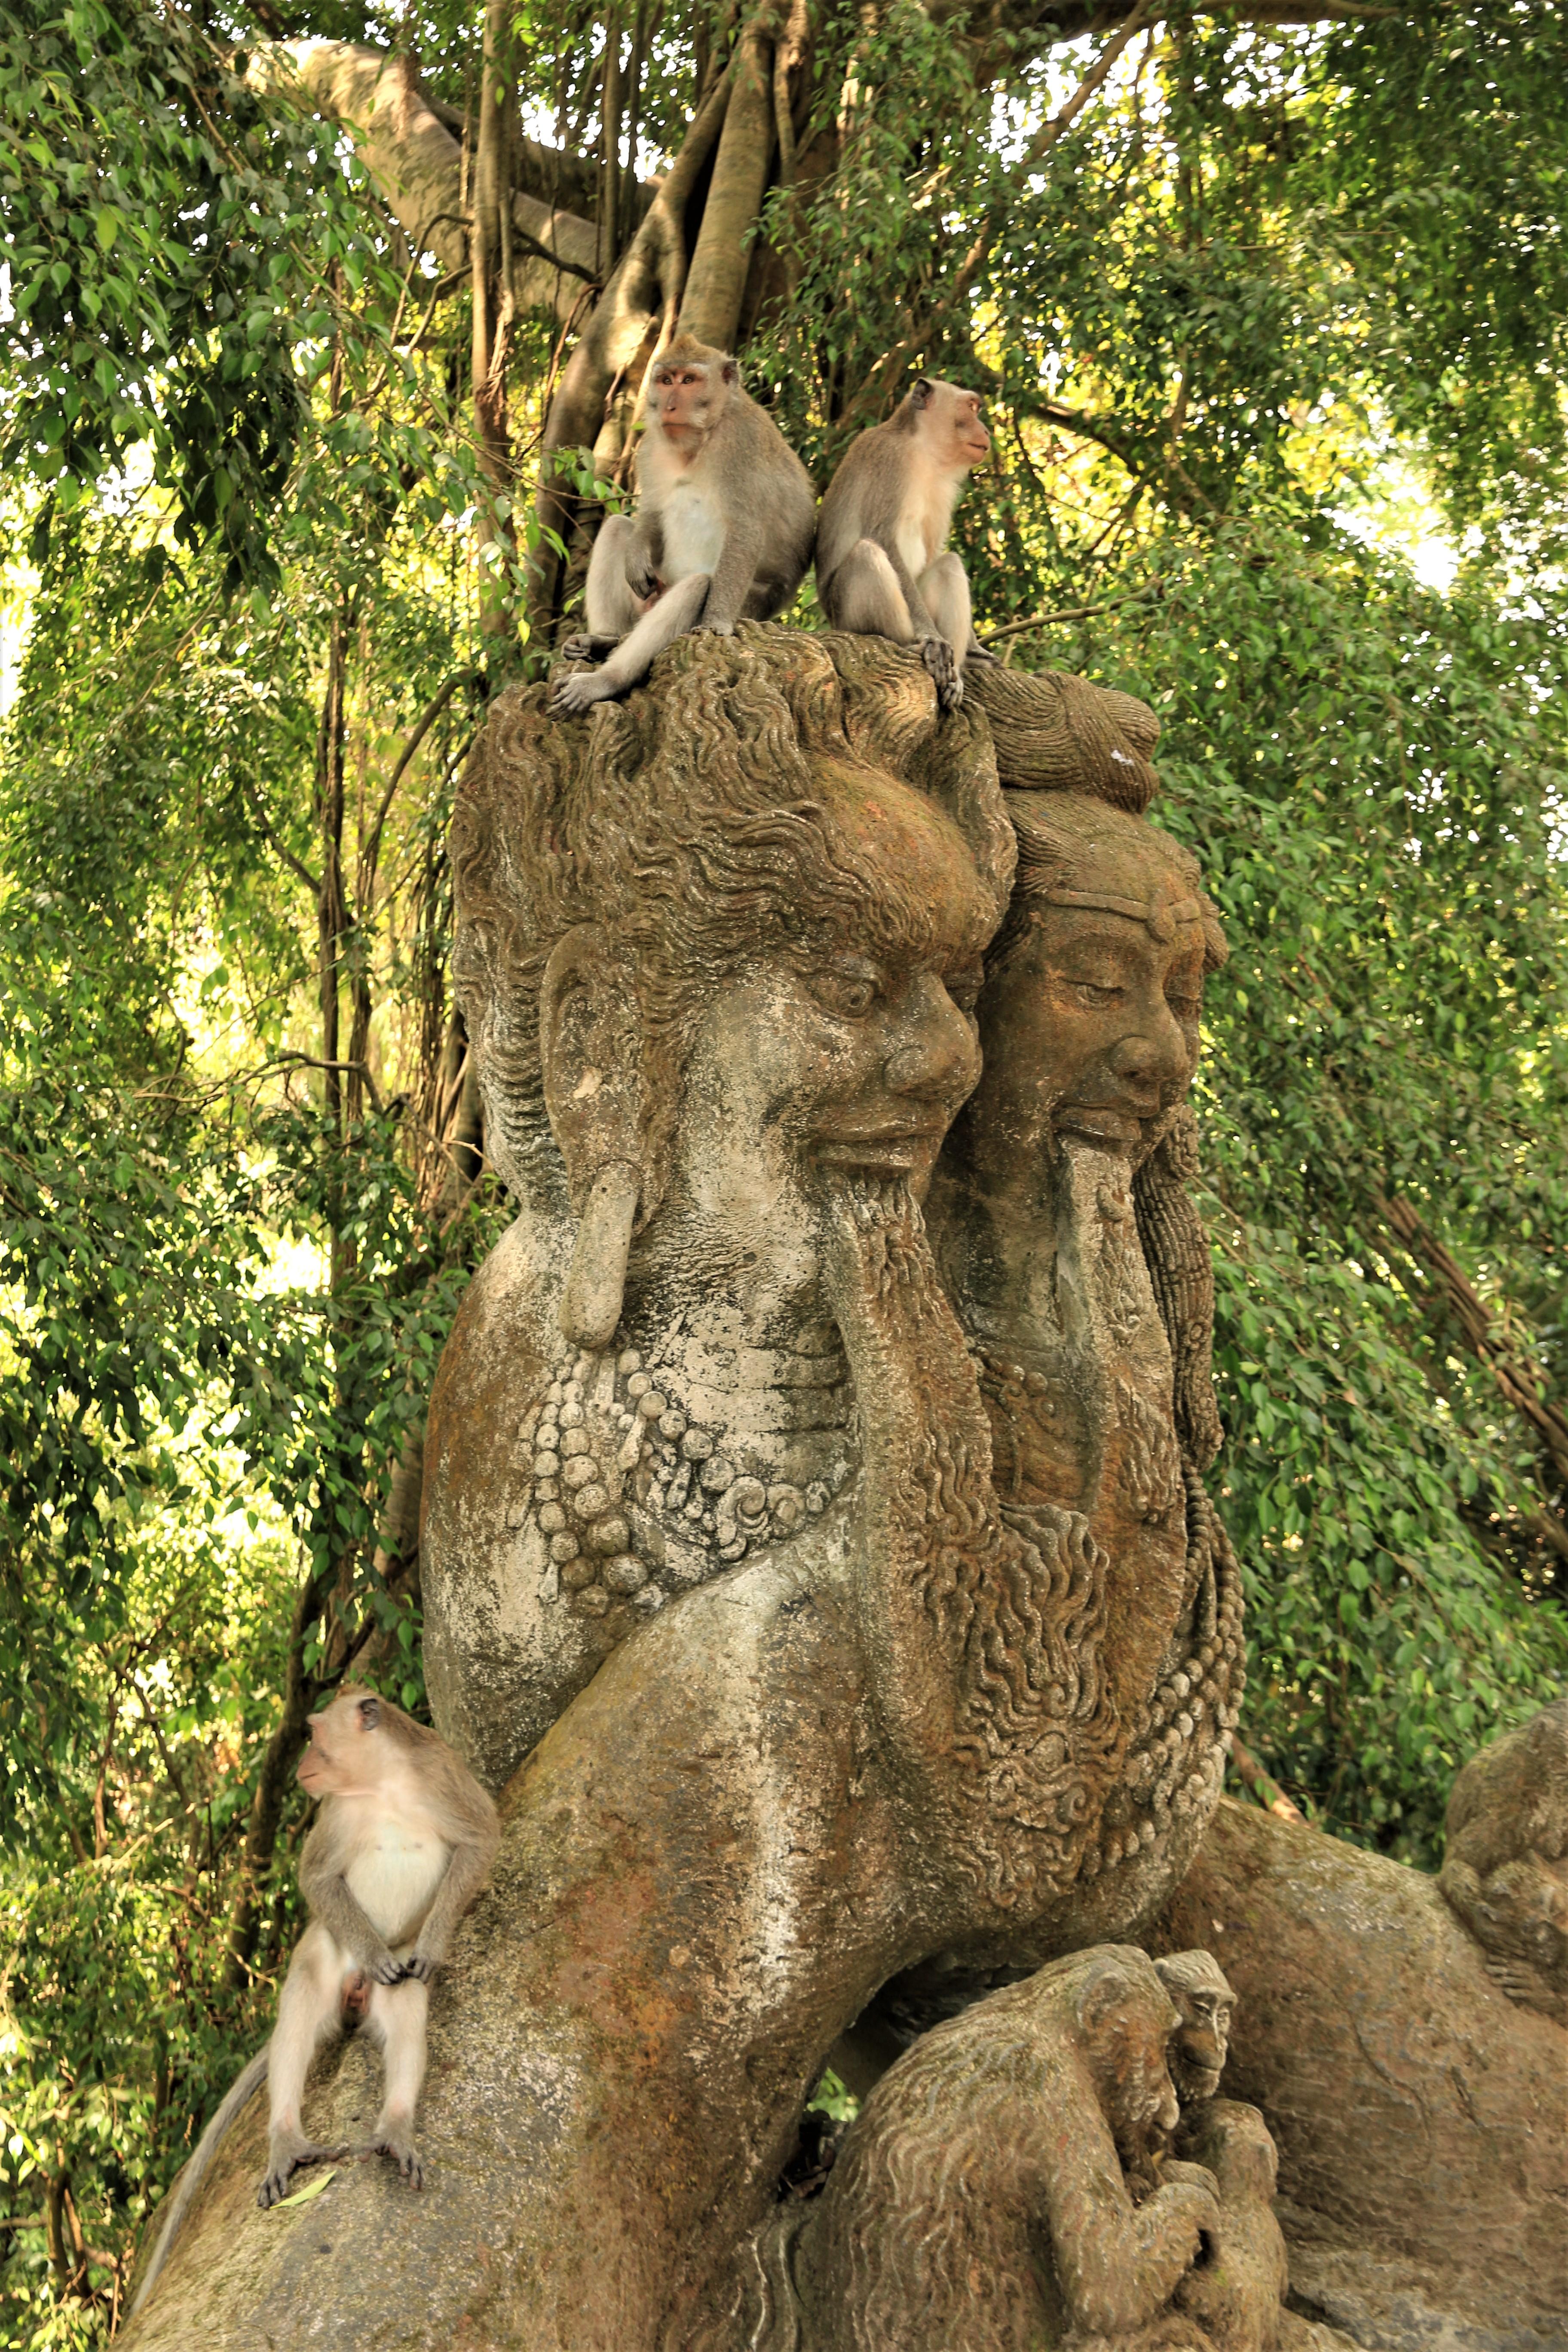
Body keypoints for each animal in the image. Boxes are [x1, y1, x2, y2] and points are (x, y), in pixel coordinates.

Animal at [129, 1686, 499, 2322]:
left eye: (314, 1734)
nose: (302, 1762)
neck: (385, 1783)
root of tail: (354, 1999)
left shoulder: (444, 1774)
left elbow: (480, 1841)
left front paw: (433, 1944)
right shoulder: (335, 1814)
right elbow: (317, 1879)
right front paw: (373, 1948)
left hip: (388, 1993)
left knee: (406, 2006)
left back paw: (395, 2128)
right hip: (327, 1957)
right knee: (301, 2010)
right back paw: (288, 2141)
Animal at [551, 335, 816, 715]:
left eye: (689, 381)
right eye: (667, 381)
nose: (670, 407)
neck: (703, 437)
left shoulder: (740, 444)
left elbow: (745, 530)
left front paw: (715, 624)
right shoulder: (649, 447)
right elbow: (651, 512)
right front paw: (636, 557)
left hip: (752, 607)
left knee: (696, 586)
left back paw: (605, 681)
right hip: (651, 594)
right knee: (616, 527)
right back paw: (603, 639)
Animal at [814, 375, 994, 714]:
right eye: (971, 407)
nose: (987, 431)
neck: (923, 450)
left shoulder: (944, 488)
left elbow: (934, 554)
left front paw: (975, 647)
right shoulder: (890, 459)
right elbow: (883, 538)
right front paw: (931, 637)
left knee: (949, 564)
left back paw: (956, 675)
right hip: (846, 618)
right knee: (867, 552)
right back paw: (910, 645)